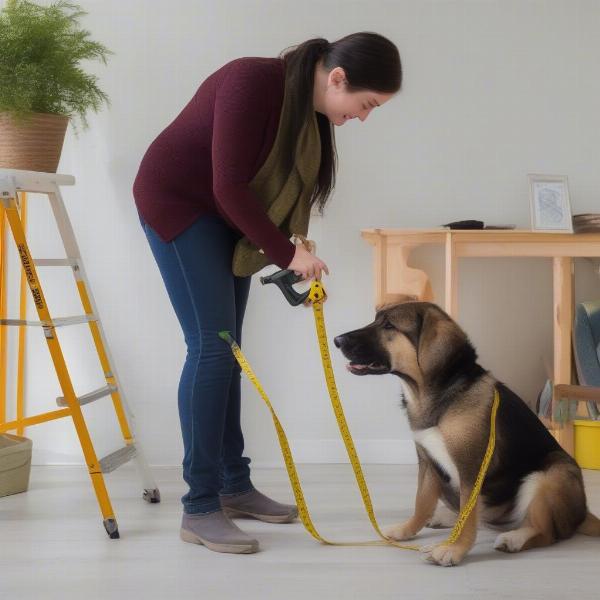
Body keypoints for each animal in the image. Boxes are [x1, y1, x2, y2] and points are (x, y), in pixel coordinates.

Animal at [332, 302, 600, 564]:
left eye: (388, 325)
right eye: (375, 319)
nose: (336, 340)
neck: (432, 394)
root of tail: (582, 513)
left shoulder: (471, 466)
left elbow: (467, 513)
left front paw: (454, 548)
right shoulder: (427, 462)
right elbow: (422, 502)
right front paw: (406, 529)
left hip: (552, 474)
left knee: (547, 532)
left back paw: (514, 538)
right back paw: (446, 516)